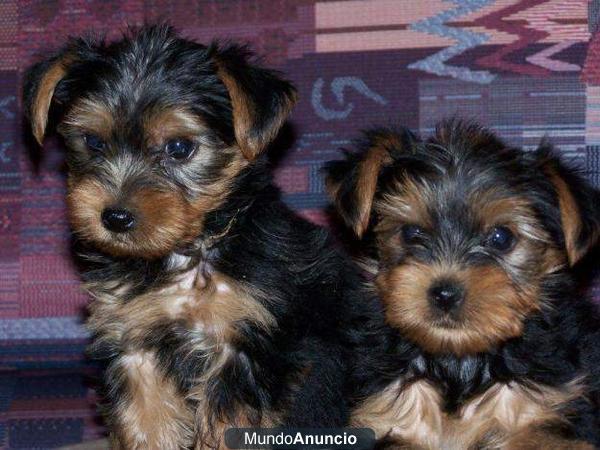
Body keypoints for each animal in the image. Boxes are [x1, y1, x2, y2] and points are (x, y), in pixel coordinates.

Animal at [23, 25, 366, 450]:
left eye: (179, 147)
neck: (187, 252)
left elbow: (229, 424)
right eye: (94, 142)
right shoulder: (135, 342)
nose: (114, 217)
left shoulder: (245, 347)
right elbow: (146, 419)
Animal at [326, 120, 600, 450]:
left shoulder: (542, 415)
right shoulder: (383, 416)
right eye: (411, 232)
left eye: (501, 237)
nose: (444, 293)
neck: (457, 361)